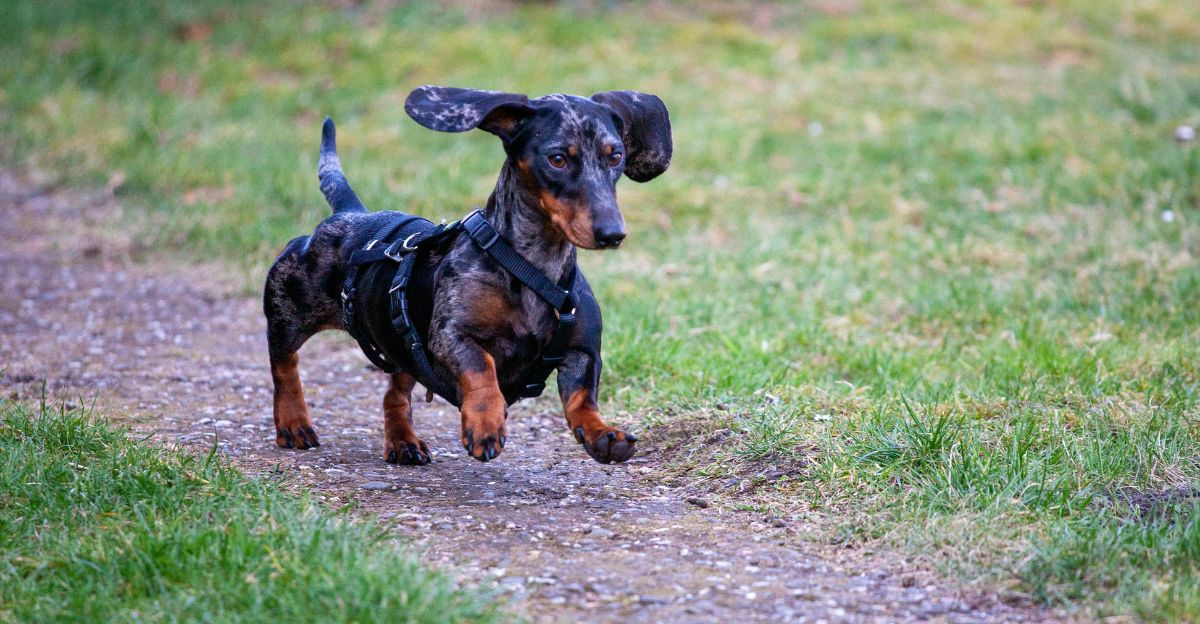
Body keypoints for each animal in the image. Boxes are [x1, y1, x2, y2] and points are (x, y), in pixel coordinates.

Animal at [263, 85, 672, 466]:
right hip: (288, 312)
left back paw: (403, 442)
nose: (612, 233)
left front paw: (603, 433)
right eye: (557, 159)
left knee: (394, 394)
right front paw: (485, 422)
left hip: (402, 346)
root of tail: (350, 215)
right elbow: (481, 368)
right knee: (283, 365)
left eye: (615, 156)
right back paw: (293, 422)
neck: (533, 267)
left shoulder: (582, 351)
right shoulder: (450, 335)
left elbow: (582, 397)